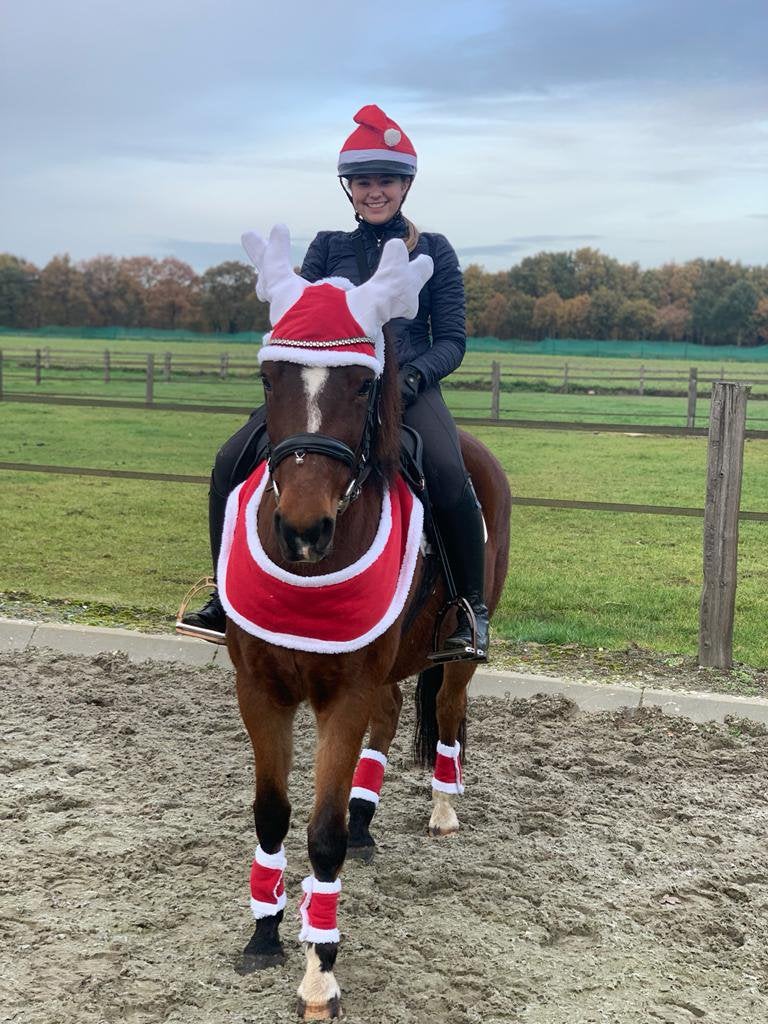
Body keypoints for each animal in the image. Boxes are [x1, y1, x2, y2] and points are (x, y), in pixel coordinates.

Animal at [222, 226, 511, 1020]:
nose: (302, 530)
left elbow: (317, 836)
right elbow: (271, 813)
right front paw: (264, 933)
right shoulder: (260, 689)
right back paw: (365, 816)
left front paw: (320, 970)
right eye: (270, 378)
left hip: (456, 652)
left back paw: (440, 808)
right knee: (391, 714)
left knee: (448, 708)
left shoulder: (341, 694)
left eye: (359, 385)